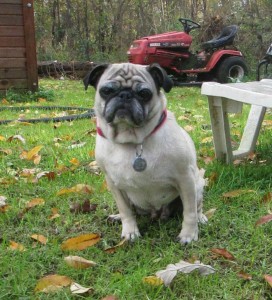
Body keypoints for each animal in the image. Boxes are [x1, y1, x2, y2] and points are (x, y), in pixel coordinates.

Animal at [84, 63, 207, 244]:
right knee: (133, 211)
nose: (125, 95)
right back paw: (117, 217)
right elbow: (126, 210)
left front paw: (189, 234)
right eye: (106, 91)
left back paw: (201, 218)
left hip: (197, 185)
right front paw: (130, 231)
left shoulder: (186, 179)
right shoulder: (114, 185)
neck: (132, 141)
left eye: (144, 93)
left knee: (196, 207)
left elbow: (189, 212)